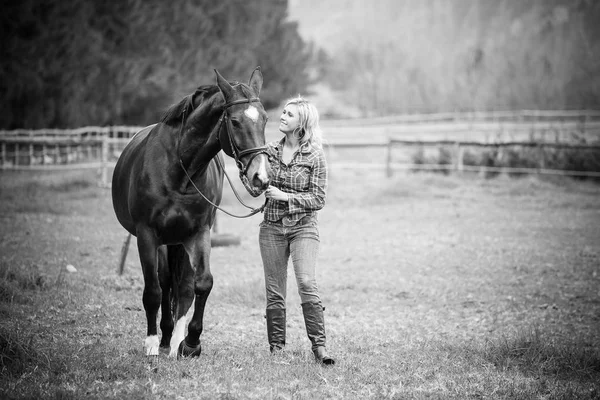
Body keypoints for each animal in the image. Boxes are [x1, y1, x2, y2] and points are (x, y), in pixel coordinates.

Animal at [112, 67, 270, 358]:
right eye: (234, 121)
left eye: (265, 120)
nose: (260, 177)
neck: (179, 170)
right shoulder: (147, 235)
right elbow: (153, 290)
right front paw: (152, 344)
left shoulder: (198, 232)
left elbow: (202, 283)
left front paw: (190, 342)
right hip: (165, 241)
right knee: (164, 283)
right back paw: (163, 337)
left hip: (180, 240)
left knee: (182, 286)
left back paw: (174, 339)